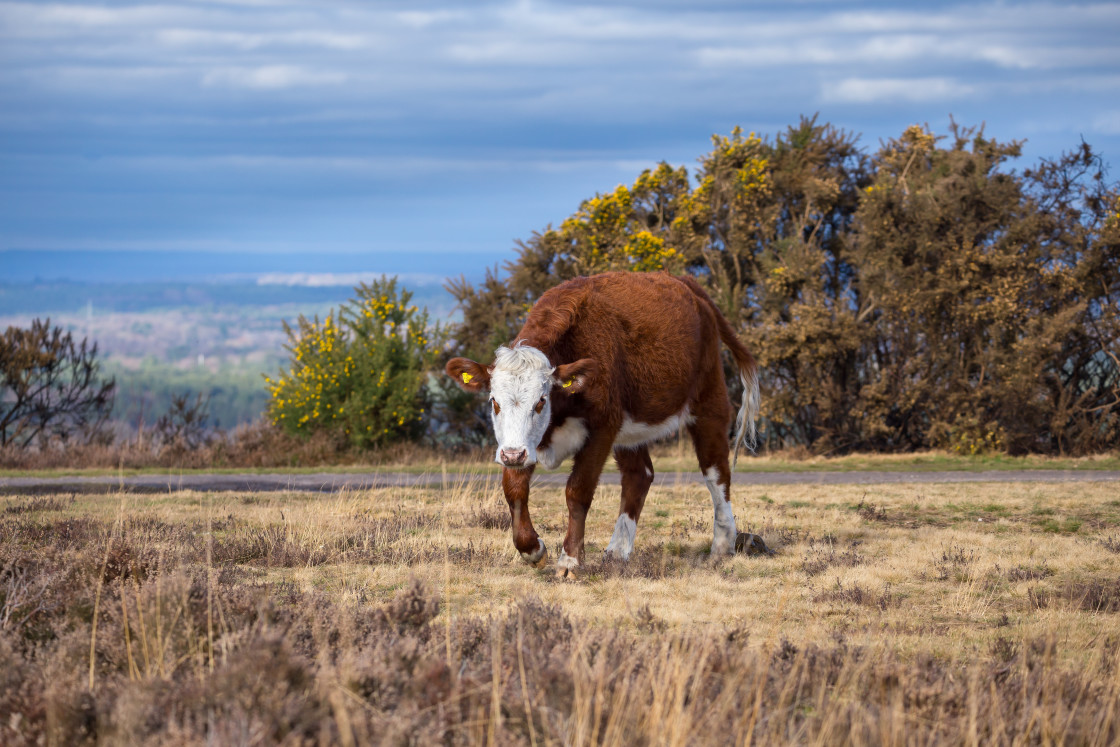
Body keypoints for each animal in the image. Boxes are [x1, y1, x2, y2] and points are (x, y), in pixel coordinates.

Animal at [445, 269, 761, 577]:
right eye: (494, 402)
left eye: (541, 401)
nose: (512, 455)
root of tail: (684, 282)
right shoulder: (524, 444)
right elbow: (514, 490)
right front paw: (532, 549)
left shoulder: (601, 429)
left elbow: (578, 491)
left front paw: (571, 560)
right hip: (629, 429)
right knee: (639, 475)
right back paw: (617, 552)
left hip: (709, 400)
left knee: (716, 472)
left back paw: (723, 545)